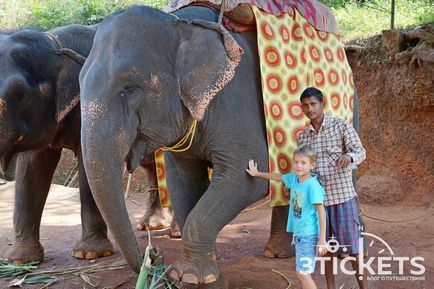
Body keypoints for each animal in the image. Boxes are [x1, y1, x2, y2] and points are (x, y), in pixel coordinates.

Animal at [79, 5, 294, 284]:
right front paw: (196, 272)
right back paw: (276, 252)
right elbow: (183, 182)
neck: (181, 25)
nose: (153, 256)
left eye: (130, 88)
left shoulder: (238, 96)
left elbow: (247, 176)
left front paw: (189, 275)